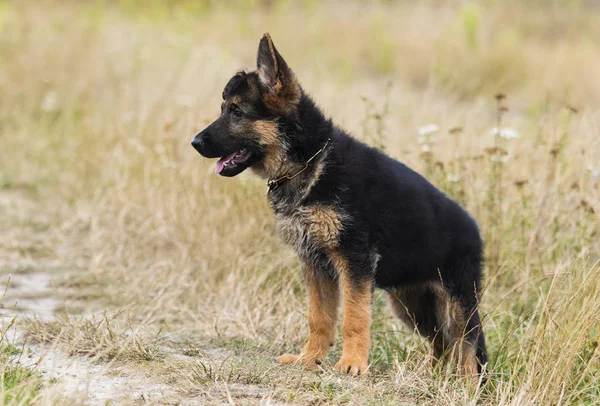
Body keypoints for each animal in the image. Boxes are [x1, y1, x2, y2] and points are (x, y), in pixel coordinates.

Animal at [192, 33, 488, 380]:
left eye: (237, 112)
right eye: (224, 109)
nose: (195, 143)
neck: (310, 161)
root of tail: (474, 228)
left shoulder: (354, 261)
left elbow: (354, 318)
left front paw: (352, 363)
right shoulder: (314, 263)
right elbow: (318, 318)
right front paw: (309, 359)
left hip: (456, 305)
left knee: (467, 348)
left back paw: (465, 386)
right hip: (410, 304)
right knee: (441, 342)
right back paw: (430, 377)